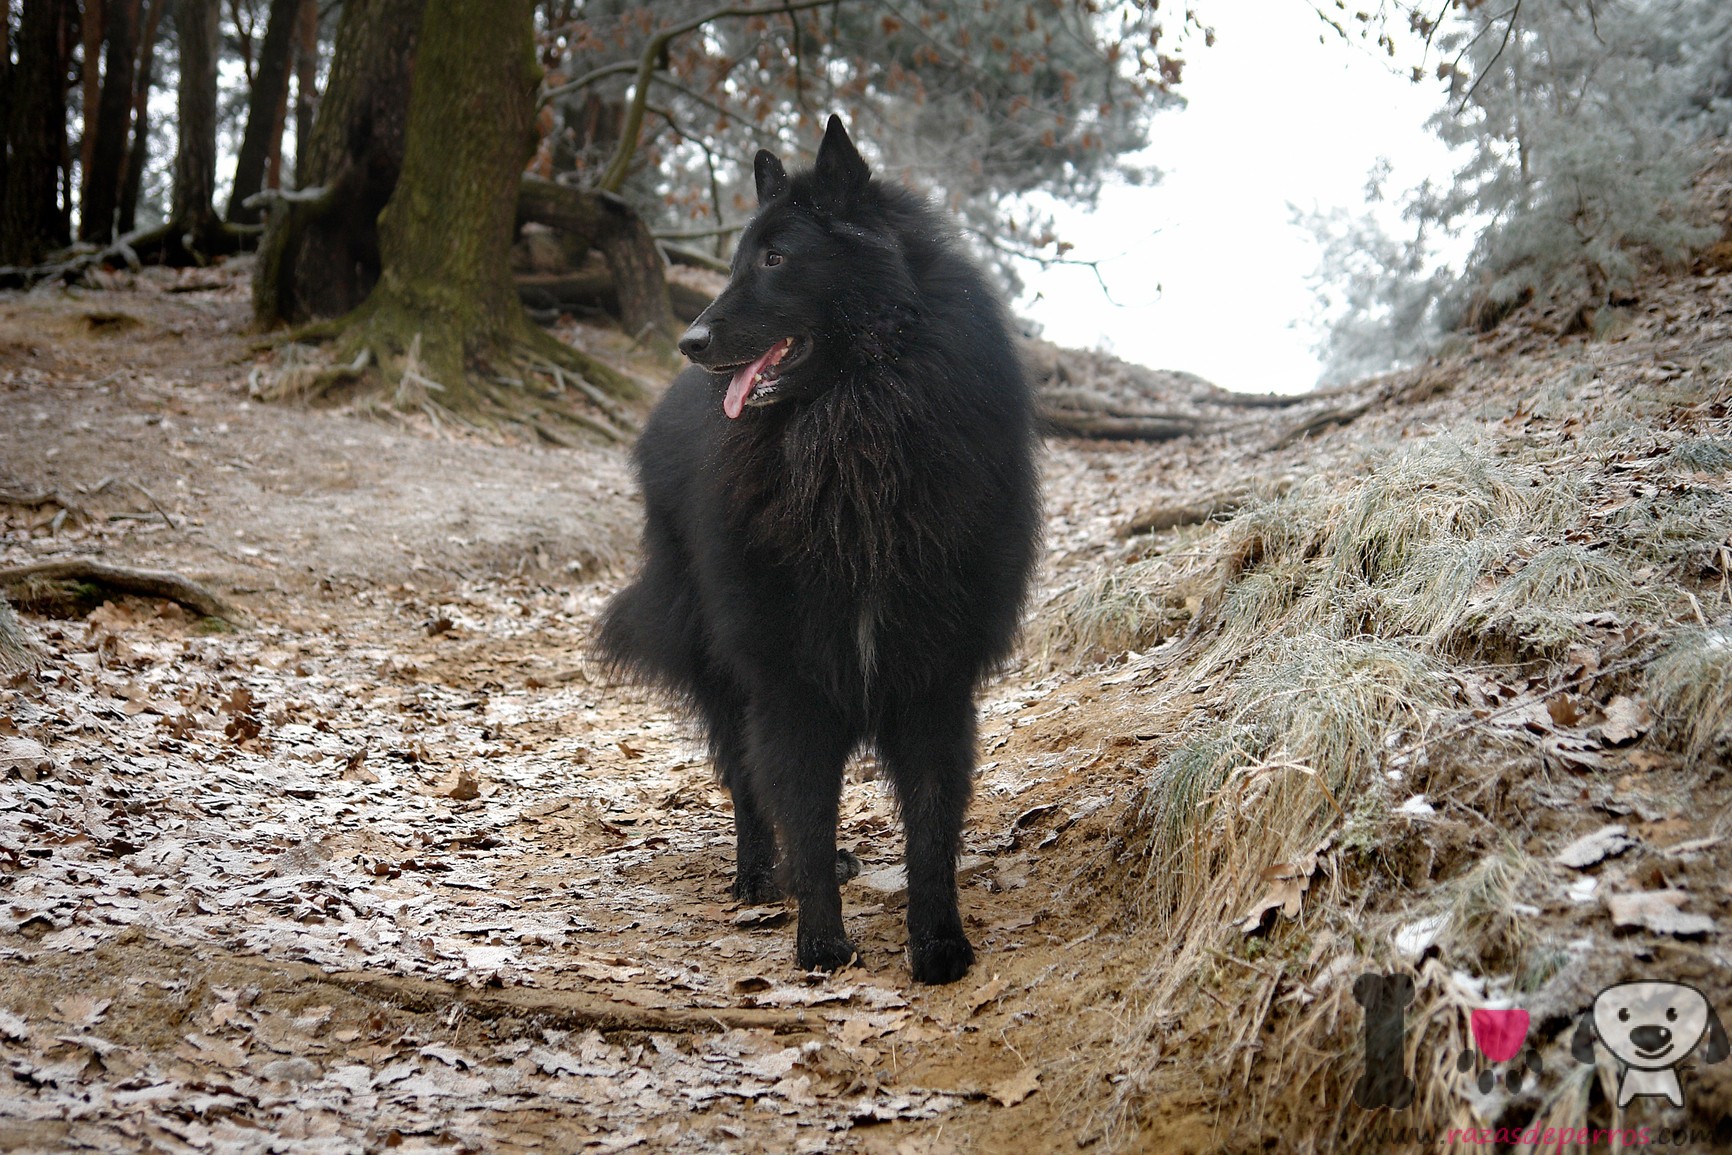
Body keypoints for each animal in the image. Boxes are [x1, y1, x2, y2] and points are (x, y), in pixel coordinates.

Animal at [595, 117, 1032, 983]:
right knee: (745, 781)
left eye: (775, 259)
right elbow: (802, 800)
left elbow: (931, 820)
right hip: (723, 669)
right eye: (737, 258)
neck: (853, 437)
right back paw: (762, 876)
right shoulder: (789, 681)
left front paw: (938, 944)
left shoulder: (934, 677)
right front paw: (821, 943)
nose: (691, 340)